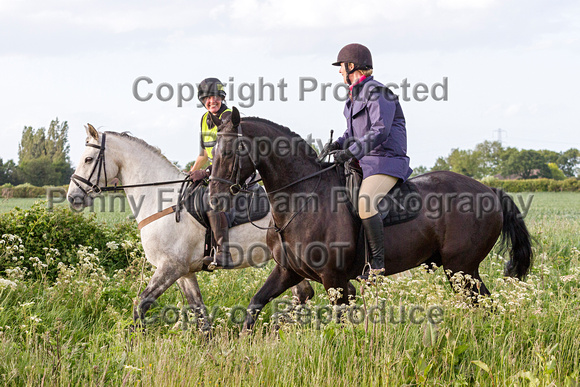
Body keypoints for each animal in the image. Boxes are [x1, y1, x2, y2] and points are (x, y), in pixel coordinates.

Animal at [207, 108, 532, 330]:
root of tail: (489, 189)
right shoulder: (288, 271)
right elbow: (255, 305)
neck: (302, 198)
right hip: (462, 271)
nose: (213, 197)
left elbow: (340, 323)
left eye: (231, 150)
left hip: (461, 268)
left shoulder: (334, 280)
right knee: (485, 305)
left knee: (485, 305)